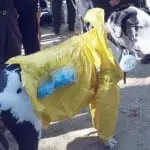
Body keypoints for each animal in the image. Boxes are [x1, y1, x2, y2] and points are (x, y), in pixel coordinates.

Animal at [0, 5, 150, 149]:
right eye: (137, 26)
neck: (108, 39)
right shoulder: (107, 92)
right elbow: (105, 121)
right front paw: (107, 141)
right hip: (30, 131)